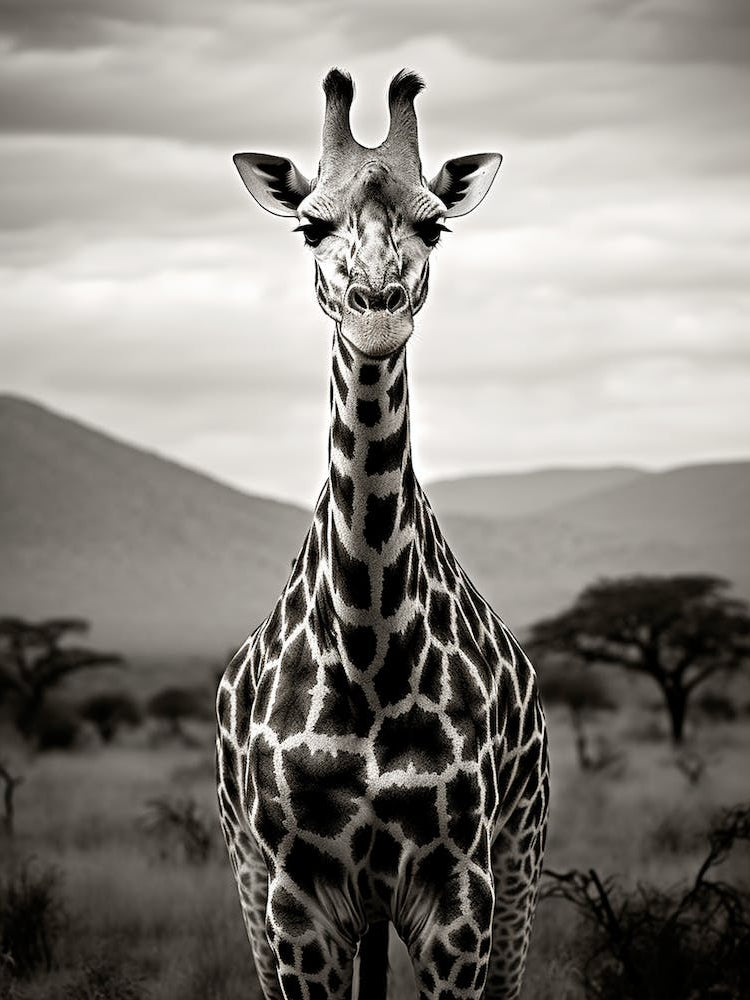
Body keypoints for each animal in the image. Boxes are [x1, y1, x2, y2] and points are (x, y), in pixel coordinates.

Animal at [216, 69, 549, 1000]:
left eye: (434, 223)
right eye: (310, 225)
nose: (376, 314)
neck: (367, 649)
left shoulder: (458, 891)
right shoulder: (298, 896)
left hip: (520, 860)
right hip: (252, 881)